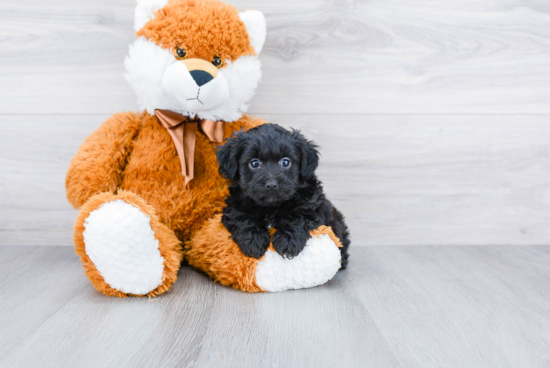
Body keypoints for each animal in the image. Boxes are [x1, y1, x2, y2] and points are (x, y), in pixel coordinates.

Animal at [218, 123, 352, 268]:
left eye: (285, 162)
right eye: (254, 163)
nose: (271, 184)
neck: (271, 206)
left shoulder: (310, 202)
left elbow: (299, 216)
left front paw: (287, 241)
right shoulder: (235, 203)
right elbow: (241, 216)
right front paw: (254, 241)